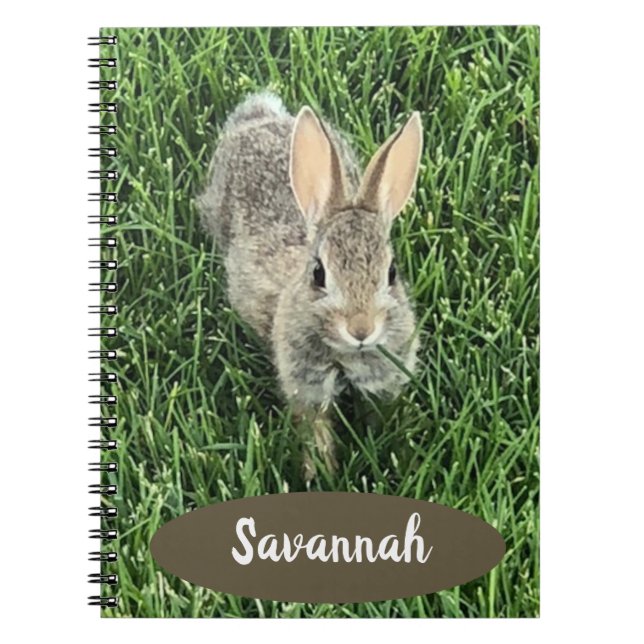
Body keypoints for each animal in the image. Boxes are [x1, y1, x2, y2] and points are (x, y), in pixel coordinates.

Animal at [199, 91, 423, 482]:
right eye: (319, 274)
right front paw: (320, 476)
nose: (361, 329)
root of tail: (257, 120)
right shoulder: (306, 383)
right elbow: (315, 430)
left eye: (392, 273)